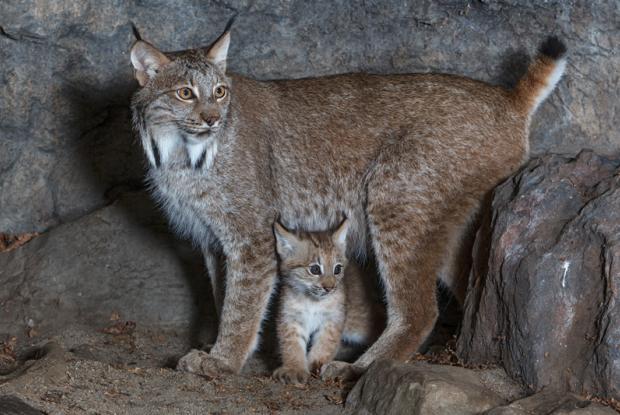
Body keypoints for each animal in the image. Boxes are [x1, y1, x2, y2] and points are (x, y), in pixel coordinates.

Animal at [274, 219, 386, 386]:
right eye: (314, 269)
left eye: (337, 269)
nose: (329, 288)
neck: (312, 300)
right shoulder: (291, 318)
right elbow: (291, 345)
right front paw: (294, 369)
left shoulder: (332, 319)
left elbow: (325, 343)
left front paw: (316, 364)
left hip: (357, 322)